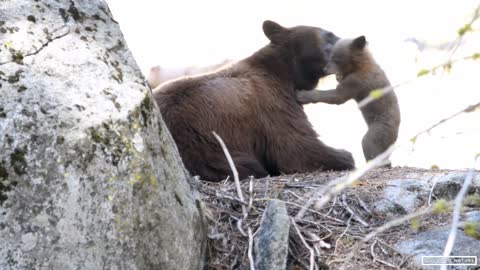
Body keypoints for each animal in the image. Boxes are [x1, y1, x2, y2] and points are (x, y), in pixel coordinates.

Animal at [152, 19, 354, 181]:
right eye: (329, 34)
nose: (350, 45)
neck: (287, 73)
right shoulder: (272, 103)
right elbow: (295, 147)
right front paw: (344, 155)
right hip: (201, 142)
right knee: (242, 165)